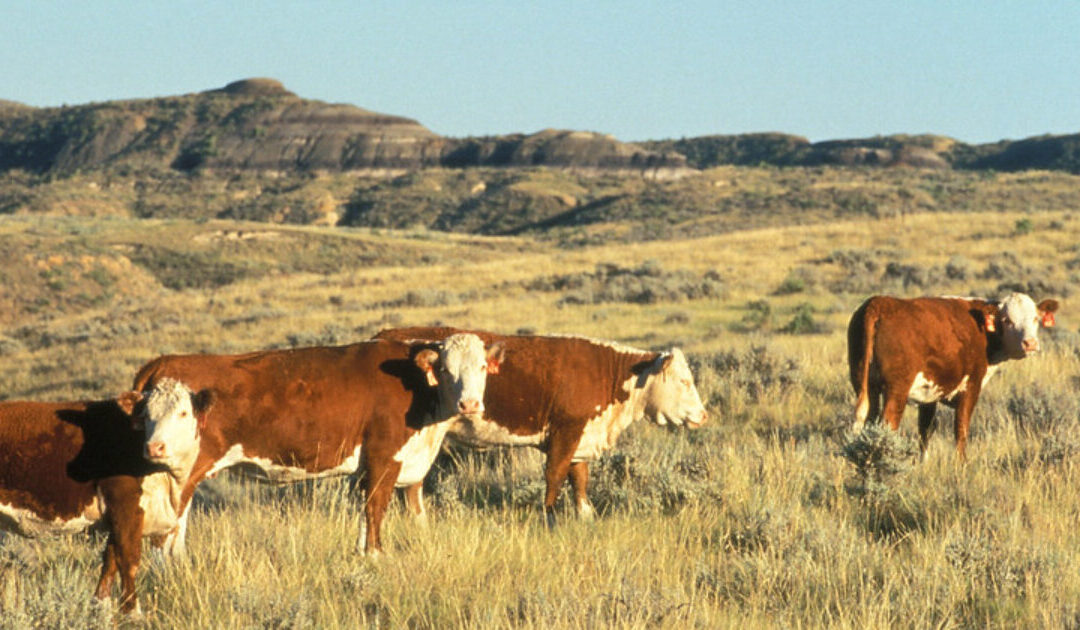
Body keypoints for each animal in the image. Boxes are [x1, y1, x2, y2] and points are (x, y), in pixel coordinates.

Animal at [0, 381, 212, 613]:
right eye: (146, 415)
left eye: (183, 413)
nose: (155, 447)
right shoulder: (125, 504)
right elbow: (129, 559)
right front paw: (132, 611)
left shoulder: (116, 515)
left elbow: (110, 560)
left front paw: (101, 605)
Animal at [133, 333, 502, 554]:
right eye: (446, 369)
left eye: (483, 366)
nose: (469, 404)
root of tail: (163, 361)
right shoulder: (384, 456)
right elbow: (375, 509)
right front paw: (377, 556)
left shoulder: (369, 466)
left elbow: (363, 514)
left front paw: (361, 554)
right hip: (178, 471)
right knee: (166, 531)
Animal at [373, 327, 708, 525]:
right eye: (684, 381)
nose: (703, 415)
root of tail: (387, 333)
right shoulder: (565, 431)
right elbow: (555, 476)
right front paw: (550, 518)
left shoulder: (580, 437)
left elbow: (579, 478)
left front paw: (585, 516)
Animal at [847, 292, 1059, 458]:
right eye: (1007, 320)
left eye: (1035, 318)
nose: (1030, 343)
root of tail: (879, 303)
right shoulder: (971, 386)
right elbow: (961, 429)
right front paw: (962, 465)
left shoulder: (929, 394)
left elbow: (925, 430)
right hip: (896, 389)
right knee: (888, 424)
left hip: (864, 384)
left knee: (868, 422)